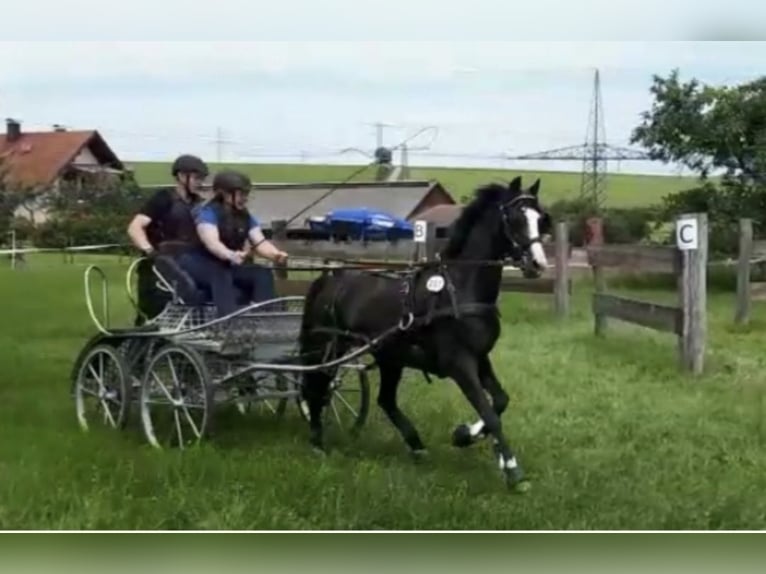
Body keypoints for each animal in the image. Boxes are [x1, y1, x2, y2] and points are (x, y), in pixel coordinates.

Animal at [297, 176, 552, 492]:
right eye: (515, 218)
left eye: (540, 219)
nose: (538, 264)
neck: (459, 289)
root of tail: (331, 276)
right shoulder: (459, 364)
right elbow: (490, 413)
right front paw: (513, 469)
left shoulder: (481, 358)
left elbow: (501, 401)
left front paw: (465, 435)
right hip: (327, 347)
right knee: (316, 387)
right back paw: (317, 441)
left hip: (389, 358)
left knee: (384, 400)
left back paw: (416, 445)